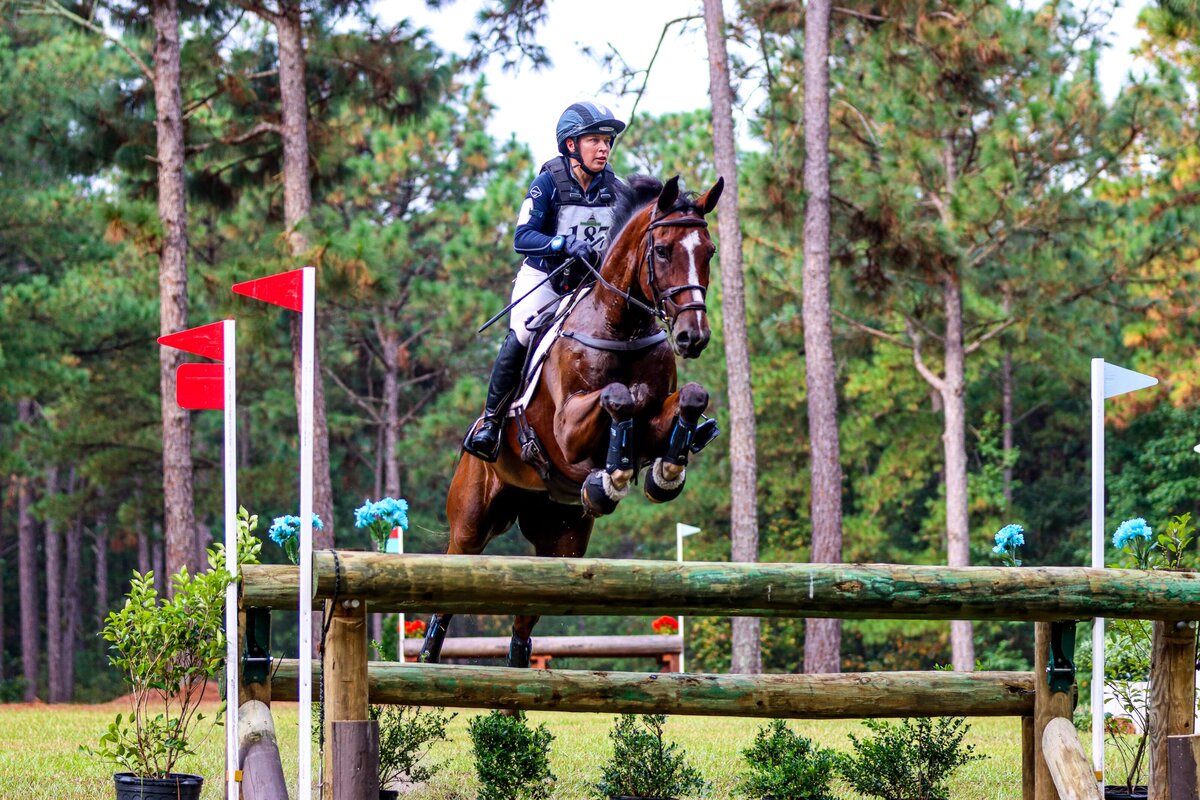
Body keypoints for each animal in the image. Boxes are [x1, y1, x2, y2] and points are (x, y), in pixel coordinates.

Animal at [419, 174, 725, 667]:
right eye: (662, 251)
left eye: (709, 252)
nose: (691, 337)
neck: (622, 326)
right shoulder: (565, 430)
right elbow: (619, 397)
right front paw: (612, 476)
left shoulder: (657, 417)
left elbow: (688, 397)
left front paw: (664, 472)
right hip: (470, 523)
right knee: (446, 597)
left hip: (561, 537)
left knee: (526, 621)